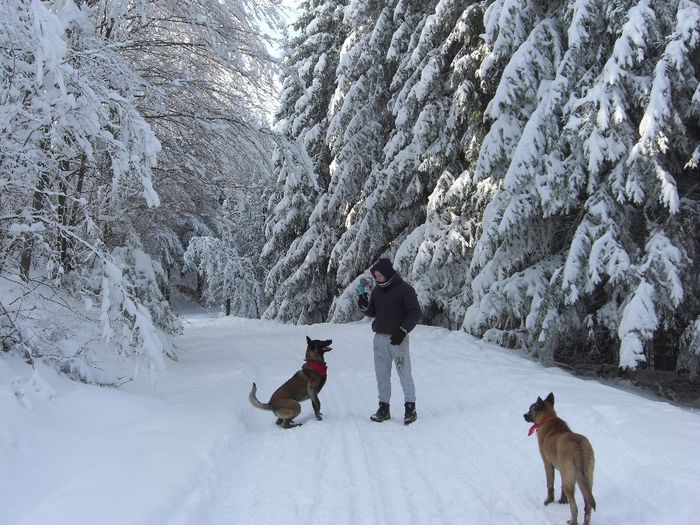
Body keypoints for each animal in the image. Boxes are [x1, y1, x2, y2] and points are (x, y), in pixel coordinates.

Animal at [524, 390, 596, 524]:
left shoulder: (547, 465)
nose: (523, 415)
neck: (548, 418)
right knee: (587, 507)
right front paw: (562, 501)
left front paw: (548, 501)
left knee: (575, 507)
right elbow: (561, 488)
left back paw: (572, 521)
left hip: (571, 481)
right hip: (586, 480)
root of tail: (579, 448)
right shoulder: (563, 472)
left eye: (530, 410)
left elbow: (550, 485)